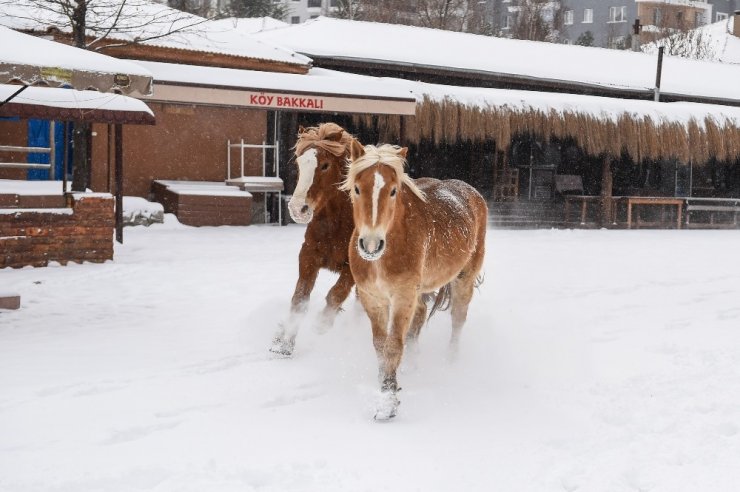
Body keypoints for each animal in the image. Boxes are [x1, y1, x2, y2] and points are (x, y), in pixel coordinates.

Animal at [270, 121, 360, 356]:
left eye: (325, 165)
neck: (337, 224)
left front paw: (322, 323)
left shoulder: (352, 267)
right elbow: (299, 298)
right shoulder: (309, 256)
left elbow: (336, 293)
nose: (297, 208)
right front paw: (284, 342)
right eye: (300, 163)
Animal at [344, 141, 488, 418]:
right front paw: (386, 384)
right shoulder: (371, 298)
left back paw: (452, 362)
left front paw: (387, 402)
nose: (371, 245)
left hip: (464, 279)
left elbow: (393, 346)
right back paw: (412, 363)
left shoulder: (402, 296)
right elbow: (380, 346)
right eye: (357, 188)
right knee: (419, 319)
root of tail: (472, 193)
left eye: (393, 191)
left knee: (458, 319)